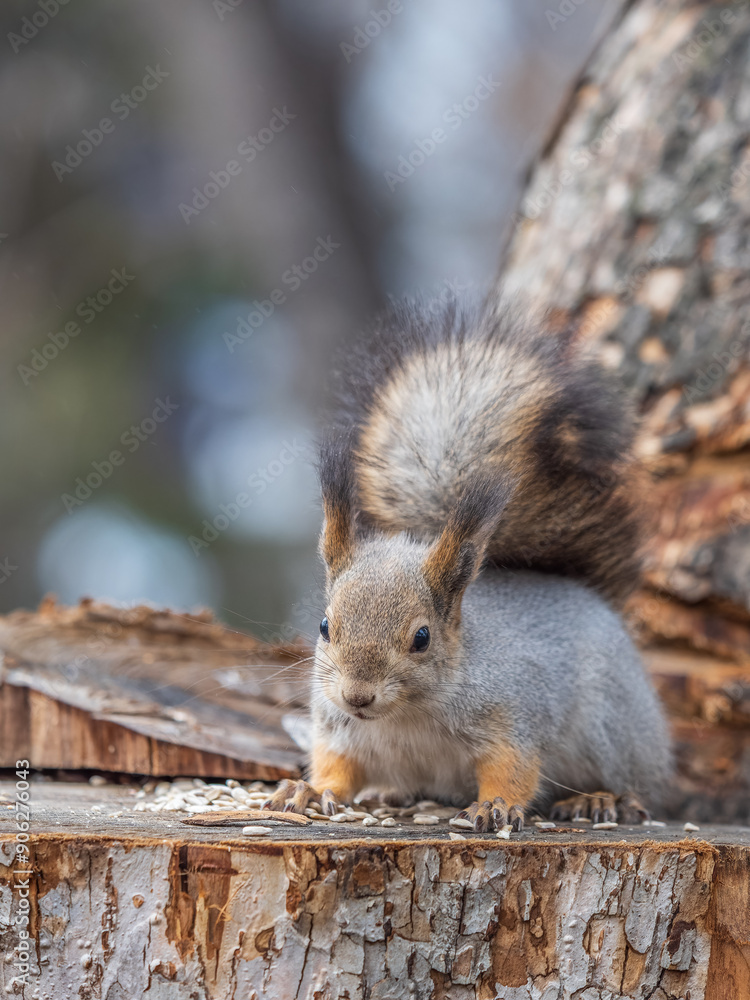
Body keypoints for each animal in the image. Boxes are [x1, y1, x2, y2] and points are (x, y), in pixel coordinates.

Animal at [265, 295, 672, 830]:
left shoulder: (512, 716)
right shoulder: (339, 730)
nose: (357, 697)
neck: (405, 716)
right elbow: (338, 768)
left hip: (614, 729)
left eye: (422, 638)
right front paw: (308, 790)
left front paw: (494, 805)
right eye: (324, 626)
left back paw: (601, 799)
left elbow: (512, 767)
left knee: (634, 781)